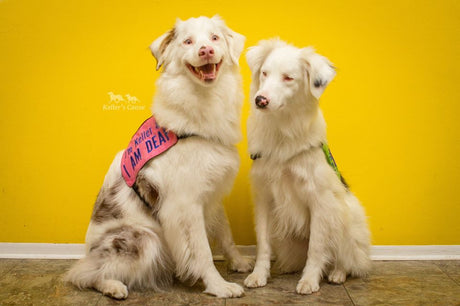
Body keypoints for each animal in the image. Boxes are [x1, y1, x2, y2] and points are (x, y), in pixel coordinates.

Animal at [64, 16, 252, 298]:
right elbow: (203, 252)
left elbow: (226, 234)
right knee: (84, 273)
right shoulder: (185, 205)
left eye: (215, 38)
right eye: (188, 41)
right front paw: (218, 286)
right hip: (143, 239)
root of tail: (89, 252)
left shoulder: (212, 192)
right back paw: (112, 286)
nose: (206, 51)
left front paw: (239, 262)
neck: (203, 105)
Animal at [244, 38, 370, 294]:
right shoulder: (263, 197)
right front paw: (259, 275)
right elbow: (263, 243)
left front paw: (310, 280)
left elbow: (317, 246)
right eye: (264, 73)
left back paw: (337, 273)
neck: (282, 132)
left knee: (346, 257)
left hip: (346, 215)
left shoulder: (320, 199)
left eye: (288, 78)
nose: (260, 100)